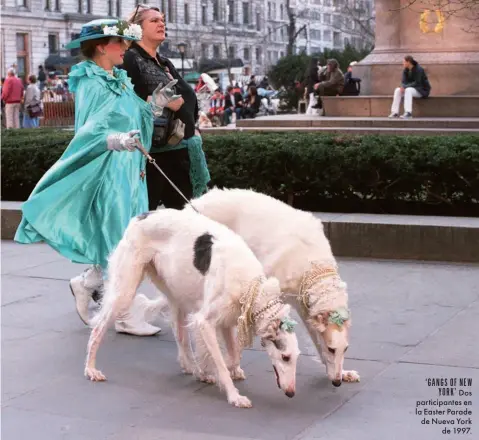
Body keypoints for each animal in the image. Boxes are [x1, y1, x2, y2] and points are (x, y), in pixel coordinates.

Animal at [83, 208, 300, 408]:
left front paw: (224, 370)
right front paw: (233, 395)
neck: (250, 284)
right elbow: (221, 363)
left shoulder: (227, 321)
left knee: (181, 339)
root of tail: (140, 216)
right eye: (285, 357)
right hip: (125, 290)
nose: (291, 393)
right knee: (97, 329)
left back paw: (196, 370)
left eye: (295, 357)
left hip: (176, 296)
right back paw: (91, 369)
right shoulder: (205, 321)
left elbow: (233, 355)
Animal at [189, 187, 362, 386]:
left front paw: (343, 372)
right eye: (332, 349)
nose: (337, 382)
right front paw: (229, 367)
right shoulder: (260, 298)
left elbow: (316, 340)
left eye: (345, 349)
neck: (313, 263)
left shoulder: (304, 305)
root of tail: (197, 200)